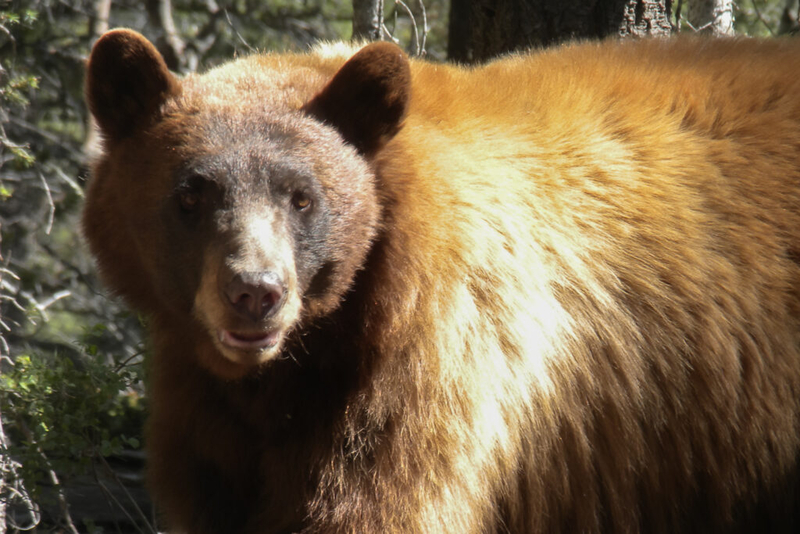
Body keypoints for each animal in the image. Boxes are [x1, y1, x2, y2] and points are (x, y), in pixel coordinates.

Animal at [82, 29, 800, 533]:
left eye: (303, 197)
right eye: (190, 195)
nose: (255, 291)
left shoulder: (429, 371)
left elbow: (381, 506)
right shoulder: (208, 412)